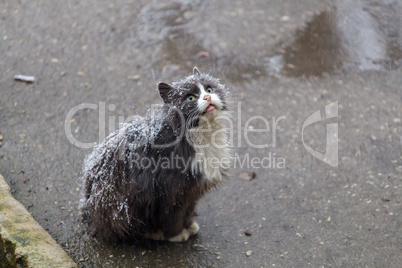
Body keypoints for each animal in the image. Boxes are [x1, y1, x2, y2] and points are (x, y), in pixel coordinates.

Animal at [81, 67, 231, 243]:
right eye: (190, 98)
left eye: (209, 89)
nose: (207, 97)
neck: (201, 134)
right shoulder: (171, 191)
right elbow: (172, 216)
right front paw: (177, 234)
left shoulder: (192, 191)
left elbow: (188, 210)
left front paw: (189, 226)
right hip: (125, 206)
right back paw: (154, 233)